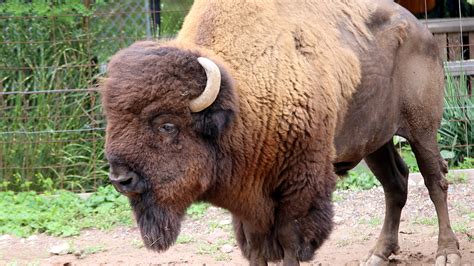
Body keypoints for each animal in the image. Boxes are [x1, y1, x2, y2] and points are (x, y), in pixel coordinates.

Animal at [100, 1, 460, 264]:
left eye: (167, 125)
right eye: (113, 122)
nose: (121, 178)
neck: (240, 99)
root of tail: (421, 29)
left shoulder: (297, 186)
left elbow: (289, 241)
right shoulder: (247, 194)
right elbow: (254, 244)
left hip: (422, 129)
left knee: (434, 181)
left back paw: (447, 252)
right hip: (375, 140)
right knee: (395, 183)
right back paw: (378, 254)